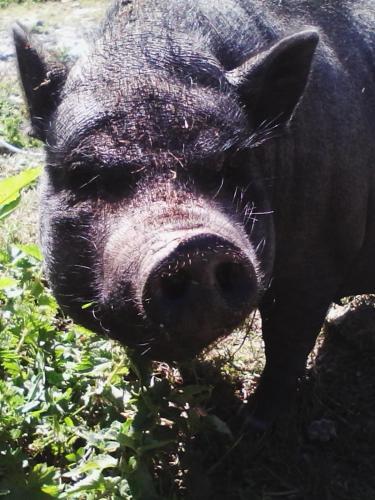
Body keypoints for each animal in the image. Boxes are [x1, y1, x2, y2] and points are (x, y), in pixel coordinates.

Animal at [13, 0, 374, 430]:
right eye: (84, 172)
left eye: (233, 163)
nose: (196, 247)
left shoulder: (316, 262)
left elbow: (287, 342)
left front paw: (253, 424)